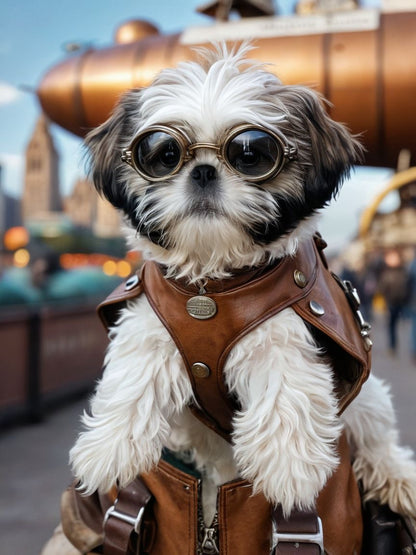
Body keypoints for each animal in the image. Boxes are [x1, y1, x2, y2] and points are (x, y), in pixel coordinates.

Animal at [69, 43, 416, 548]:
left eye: (251, 153)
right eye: (163, 154)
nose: (203, 171)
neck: (213, 290)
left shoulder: (284, 333)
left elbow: (285, 392)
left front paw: (290, 470)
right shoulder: (153, 319)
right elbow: (134, 376)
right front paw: (109, 449)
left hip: (366, 401)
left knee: (376, 438)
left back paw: (397, 478)